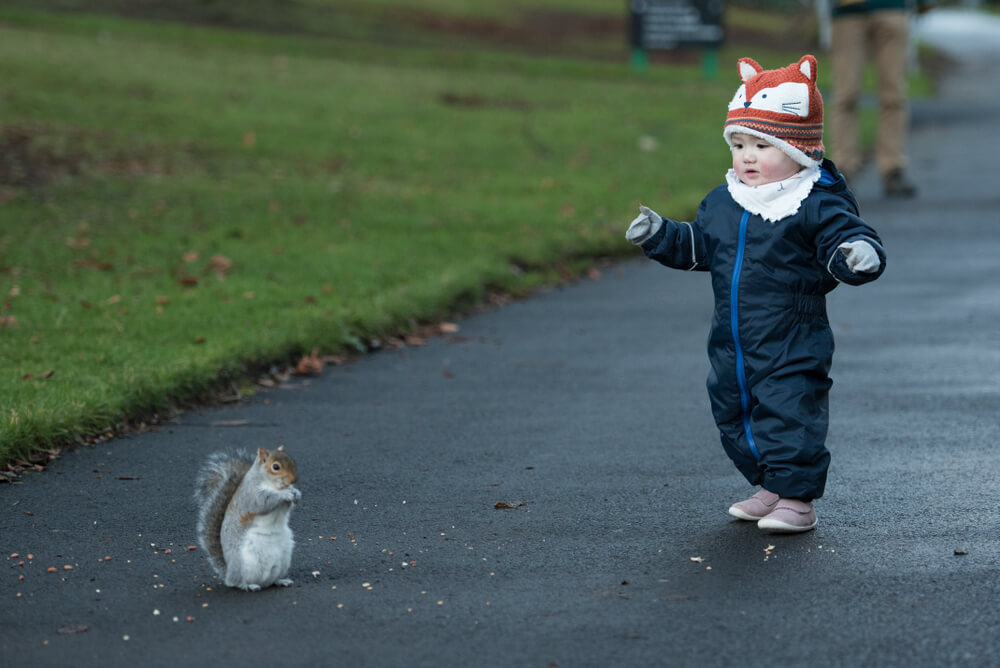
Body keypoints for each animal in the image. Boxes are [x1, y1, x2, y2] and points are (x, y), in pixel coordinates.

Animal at [192, 446, 298, 592]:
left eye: (292, 461)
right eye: (276, 467)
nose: (294, 480)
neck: (272, 485)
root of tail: (228, 572)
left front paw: (296, 492)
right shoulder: (251, 494)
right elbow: (264, 502)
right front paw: (285, 494)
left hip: (284, 559)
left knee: (272, 580)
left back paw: (281, 581)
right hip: (243, 564)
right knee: (236, 582)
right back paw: (249, 585)